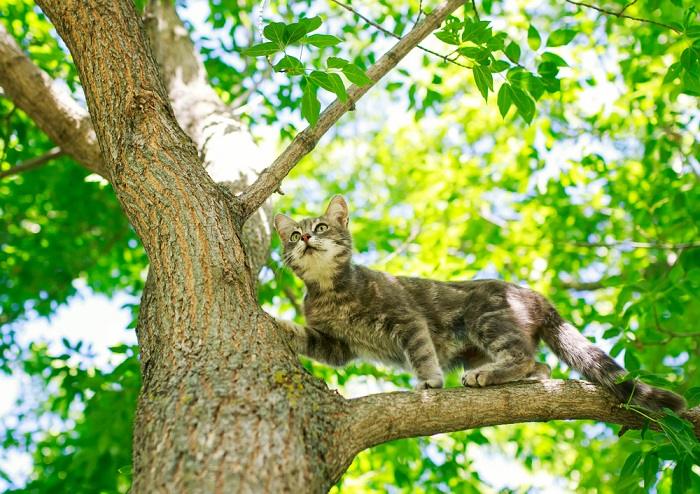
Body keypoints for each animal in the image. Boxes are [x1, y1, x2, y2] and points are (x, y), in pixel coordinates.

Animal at [272, 195, 684, 412]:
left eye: (321, 227)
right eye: (293, 235)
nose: (305, 237)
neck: (331, 291)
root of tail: (533, 294)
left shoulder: (406, 318)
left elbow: (421, 352)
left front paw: (429, 381)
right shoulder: (336, 344)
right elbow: (303, 335)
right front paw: (275, 324)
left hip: (484, 319)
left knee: (521, 355)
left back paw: (489, 375)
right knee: (541, 364)